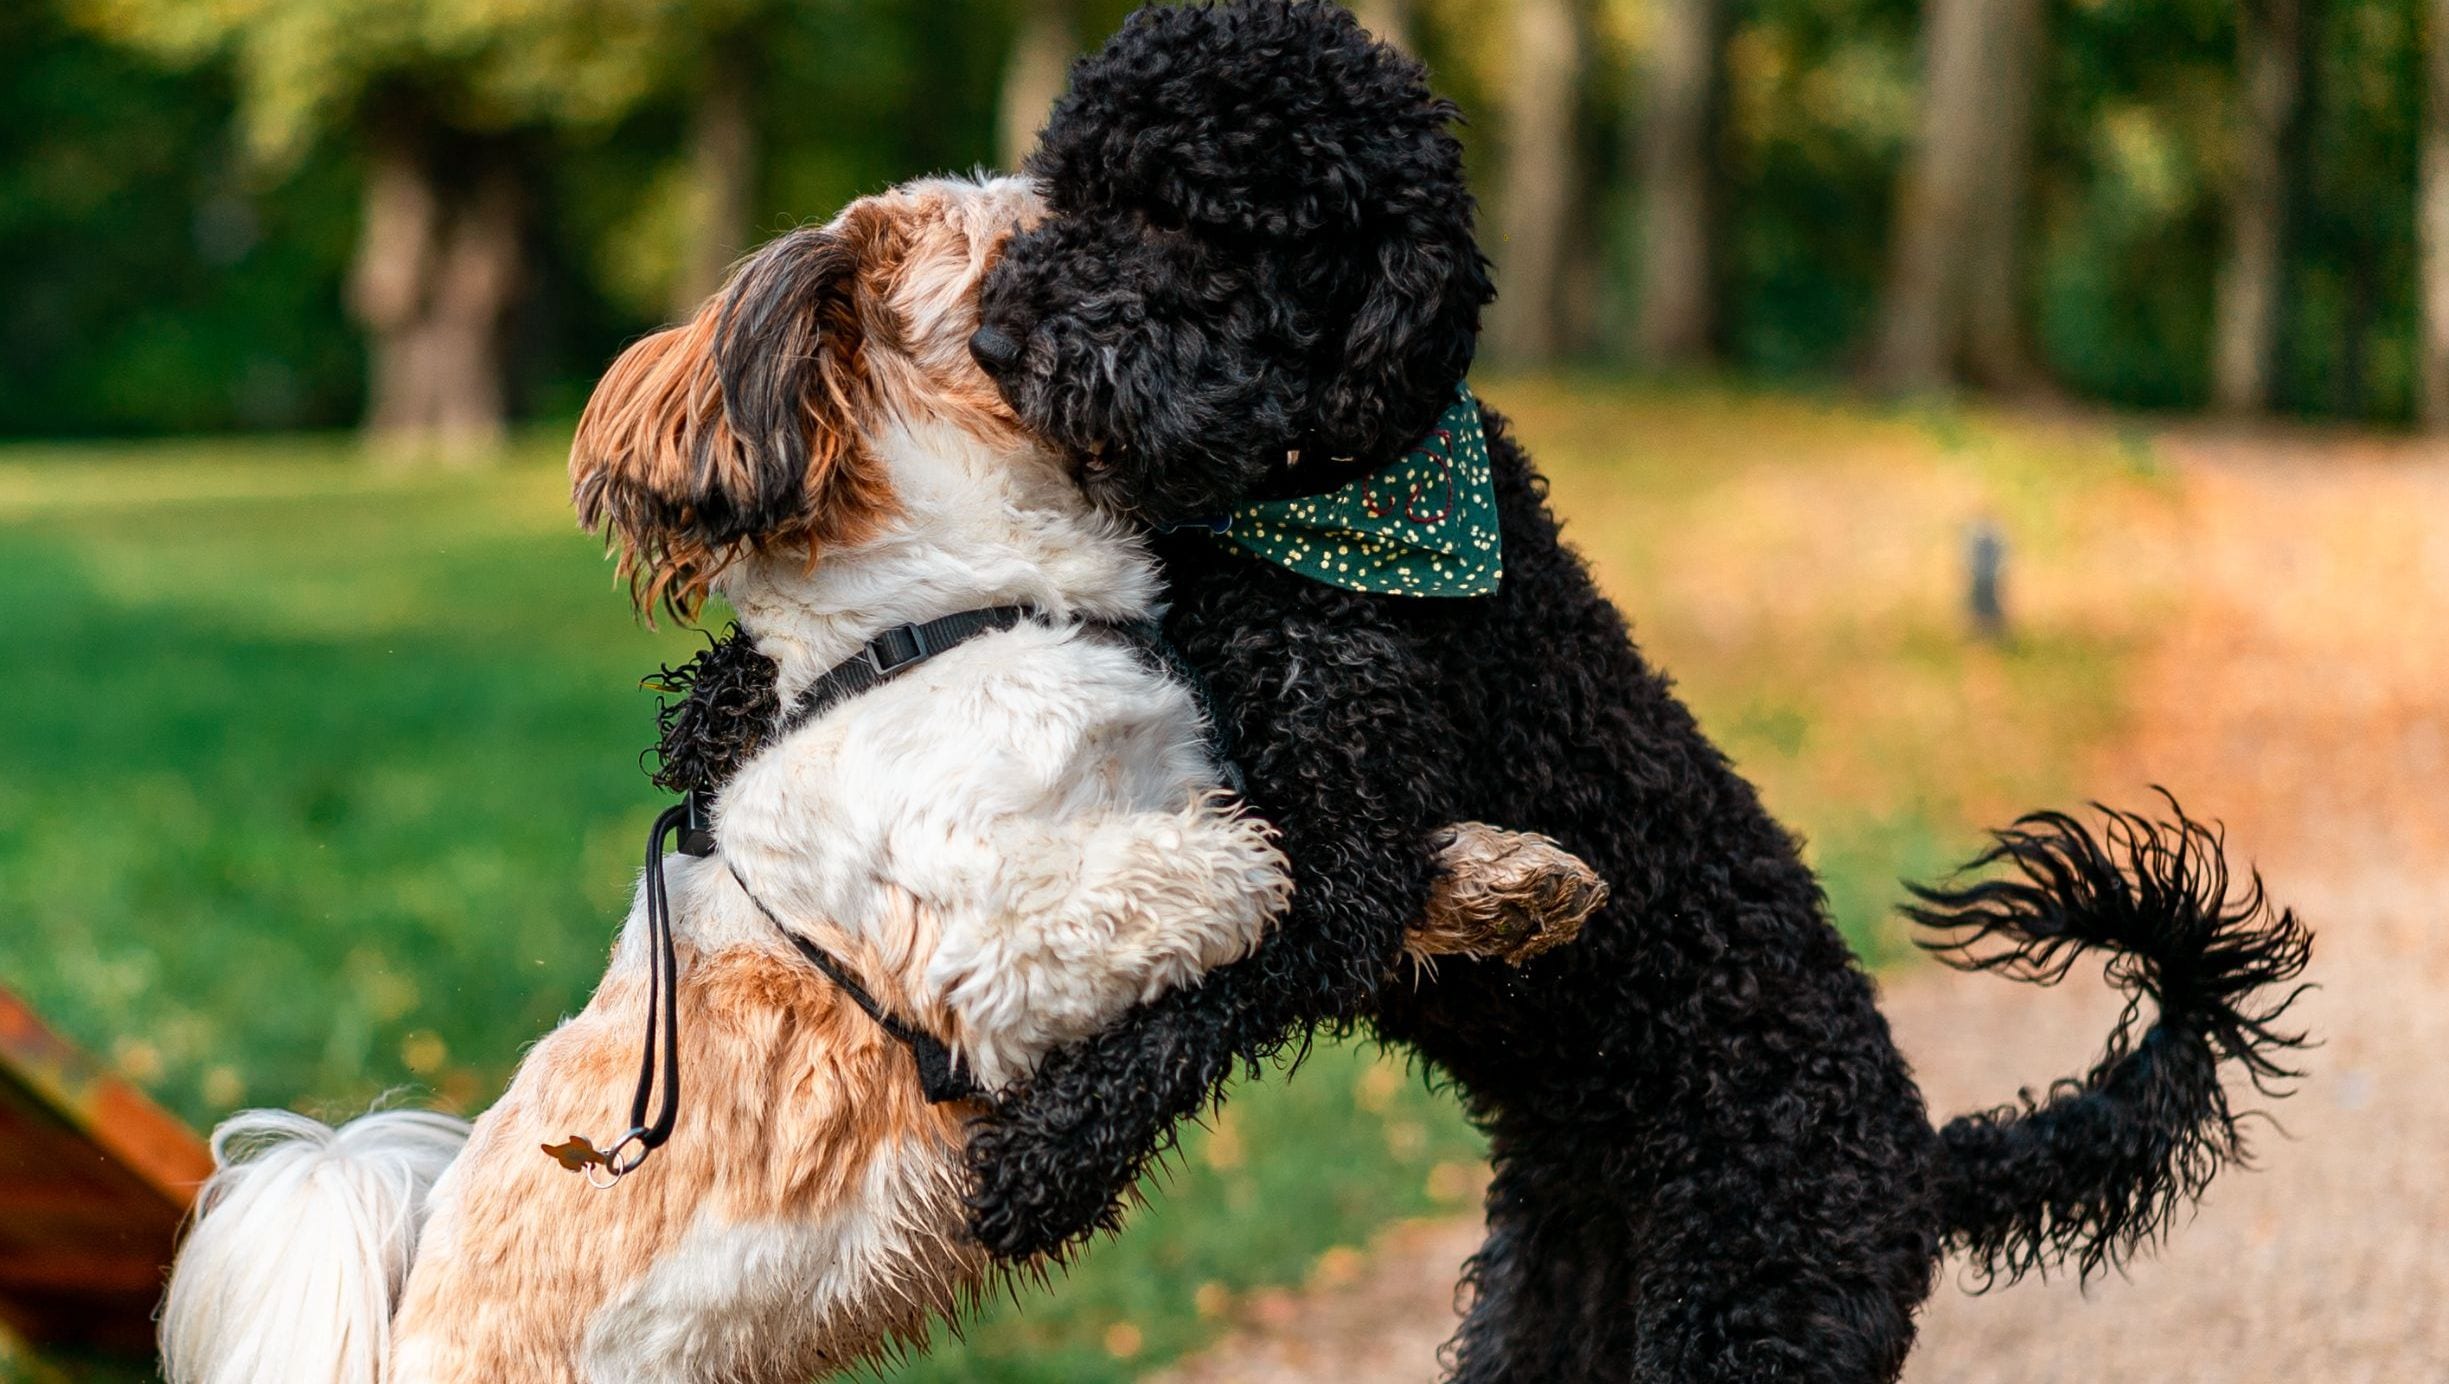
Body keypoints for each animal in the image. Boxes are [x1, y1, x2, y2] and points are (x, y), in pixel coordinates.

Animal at [162, 175, 1596, 1381]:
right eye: (1025, 235)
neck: (962, 615)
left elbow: (1346, 876)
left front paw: (1507, 882)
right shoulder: (989, 947)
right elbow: (1242, 875)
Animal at [940, 5, 2311, 1371]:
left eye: (1185, 219)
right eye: (1072, 191)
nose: (996, 344)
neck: (1308, 503)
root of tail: (1919, 1159)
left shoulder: (1350, 865)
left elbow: (1201, 988)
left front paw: (1051, 1155)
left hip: (1749, 1311)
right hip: (1548, 1302)